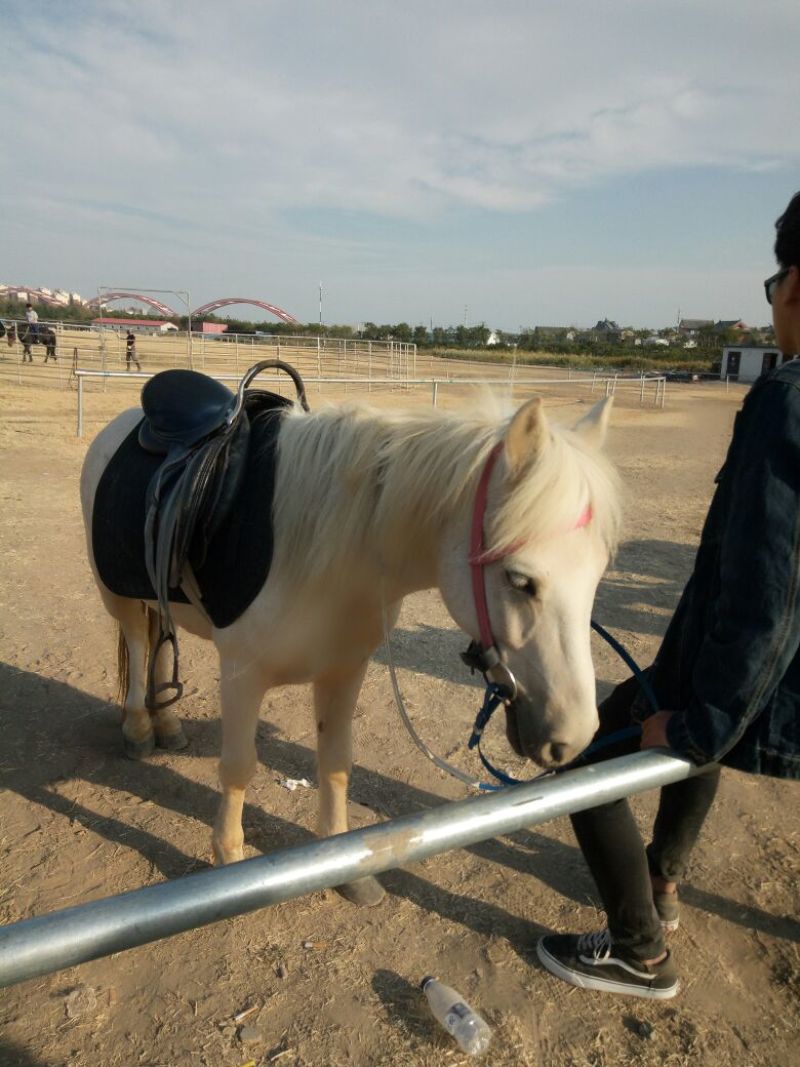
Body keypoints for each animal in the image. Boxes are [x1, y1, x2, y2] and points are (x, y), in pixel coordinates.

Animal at [80, 386, 621, 905]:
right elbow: (238, 767)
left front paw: (342, 867)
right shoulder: (241, 674)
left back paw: (167, 724)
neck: (320, 547)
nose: (574, 737)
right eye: (519, 580)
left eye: (598, 575)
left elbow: (336, 762)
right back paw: (139, 727)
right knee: (139, 641)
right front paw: (229, 862)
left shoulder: (344, 670)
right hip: (118, 597)